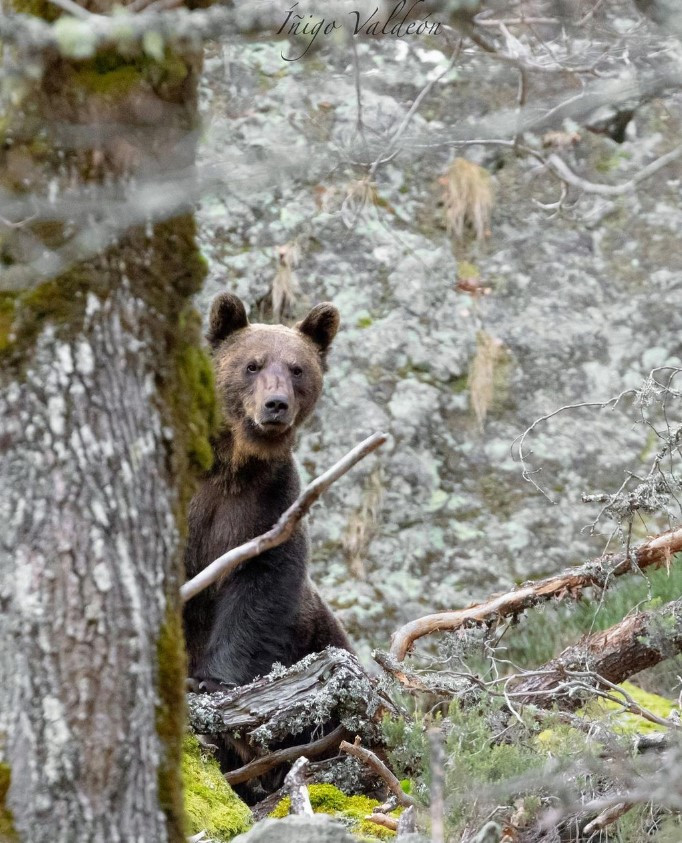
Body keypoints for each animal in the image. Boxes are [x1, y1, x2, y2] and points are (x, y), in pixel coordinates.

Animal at [182, 294, 350, 696]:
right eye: (252, 365)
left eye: (297, 369)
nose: (276, 404)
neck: (232, 467)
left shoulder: (269, 504)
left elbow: (261, 589)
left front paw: (213, 678)